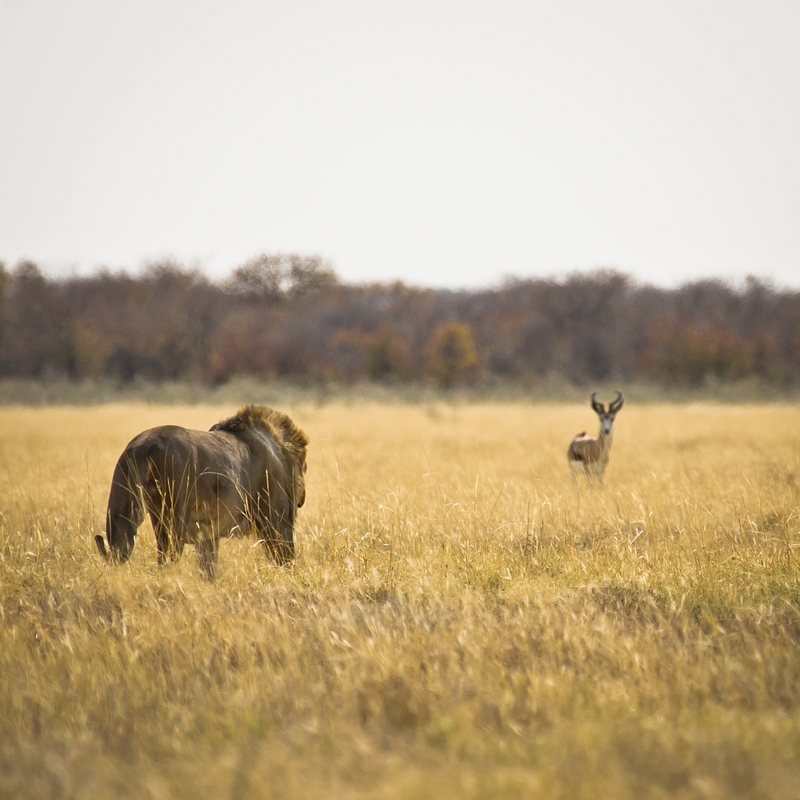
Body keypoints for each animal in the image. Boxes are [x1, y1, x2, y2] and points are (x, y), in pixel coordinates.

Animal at [93, 404, 306, 580]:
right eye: (304, 467)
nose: (301, 499)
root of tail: (146, 446)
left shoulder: (208, 533)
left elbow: (208, 567)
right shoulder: (278, 522)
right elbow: (286, 561)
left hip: (122, 501)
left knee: (120, 549)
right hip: (174, 514)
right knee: (167, 556)